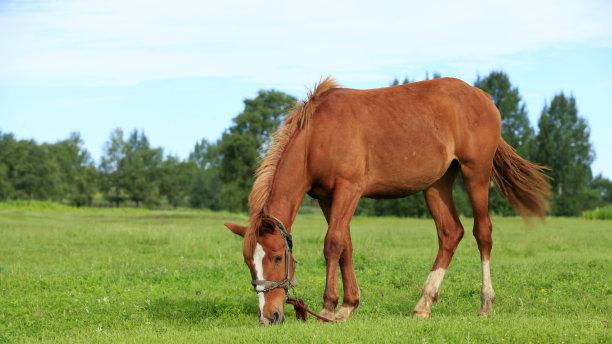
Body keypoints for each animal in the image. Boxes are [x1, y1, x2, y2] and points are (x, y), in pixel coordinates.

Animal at [224, 76, 548, 326]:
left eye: (278, 257)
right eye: (248, 262)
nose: (269, 316)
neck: (317, 136)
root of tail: (484, 98)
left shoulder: (349, 189)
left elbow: (333, 244)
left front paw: (328, 308)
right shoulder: (328, 197)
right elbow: (346, 246)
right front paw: (348, 305)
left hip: (476, 173)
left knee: (483, 234)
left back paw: (485, 303)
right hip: (437, 184)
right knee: (450, 233)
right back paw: (424, 303)